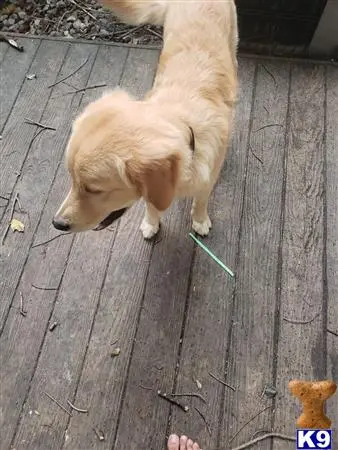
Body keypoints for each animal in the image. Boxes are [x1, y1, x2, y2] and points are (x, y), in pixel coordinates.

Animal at [52, 0, 238, 239]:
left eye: (94, 189)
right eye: (72, 180)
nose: (57, 223)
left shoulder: (209, 176)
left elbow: (201, 199)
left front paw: (200, 220)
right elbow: (152, 202)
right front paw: (151, 222)